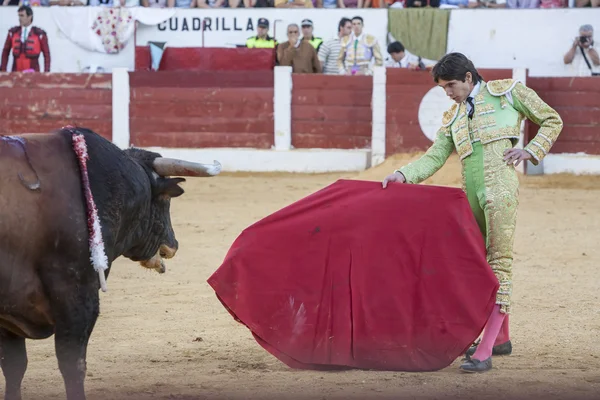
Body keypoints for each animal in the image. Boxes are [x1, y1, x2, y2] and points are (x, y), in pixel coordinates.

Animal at [0, 127, 220, 400]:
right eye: (165, 201)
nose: (174, 244)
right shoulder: (77, 296)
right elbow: (72, 366)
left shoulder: (10, 315)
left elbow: (14, 367)